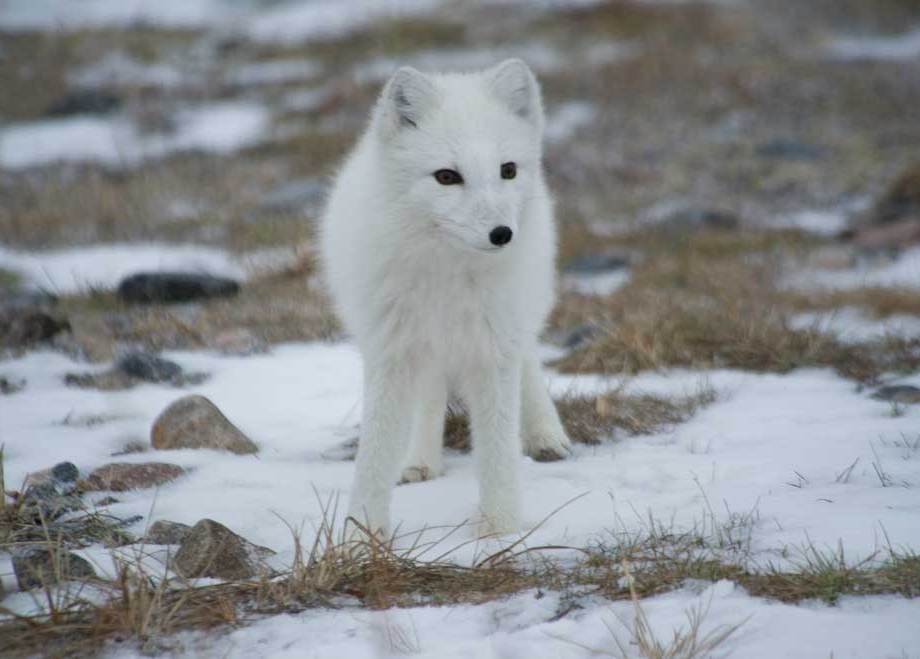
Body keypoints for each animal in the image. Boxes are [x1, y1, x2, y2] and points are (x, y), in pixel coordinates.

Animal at [320, 58, 571, 537]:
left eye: (508, 169)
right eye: (447, 177)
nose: (502, 234)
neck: (450, 278)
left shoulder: (494, 349)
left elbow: (497, 447)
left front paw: (500, 529)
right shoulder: (392, 352)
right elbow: (374, 453)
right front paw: (361, 537)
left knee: (528, 363)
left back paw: (547, 436)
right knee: (430, 397)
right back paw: (419, 460)